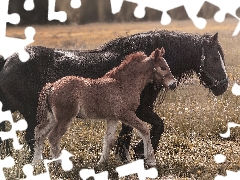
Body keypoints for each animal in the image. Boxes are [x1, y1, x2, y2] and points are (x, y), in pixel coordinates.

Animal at [0, 29, 227, 160]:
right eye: (215, 58)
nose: (223, 85)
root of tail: (8, 60)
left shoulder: (129, 112)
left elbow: (126, 133)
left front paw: (124, 155)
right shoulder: (141, 110)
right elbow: (157, 126)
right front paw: (141, 153)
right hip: (32, 113)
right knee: (33, 137)